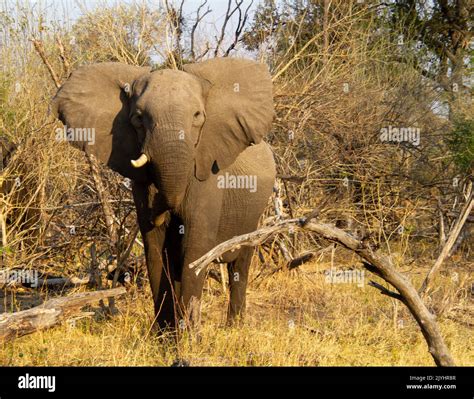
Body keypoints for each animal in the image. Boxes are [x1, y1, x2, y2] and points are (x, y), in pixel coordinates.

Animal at [51, 57, 276, 332]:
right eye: (138, 118)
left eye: (197, 116)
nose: (159, 207)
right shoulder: (140, 185)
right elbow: (155, 248)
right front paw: (164, 336)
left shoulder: (208, 178)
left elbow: (195, 248)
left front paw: (189, 337)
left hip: (255, 213)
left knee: (240, 264)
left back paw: (234, 327)